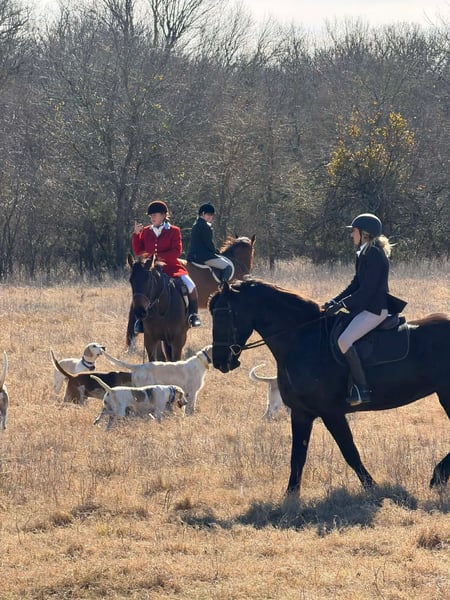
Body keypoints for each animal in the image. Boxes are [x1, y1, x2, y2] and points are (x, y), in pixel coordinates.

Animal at [209, 278, 450, 496]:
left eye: (222, 315)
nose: (220, 361)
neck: (301, 339)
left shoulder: (331, 412)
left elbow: (349, 451)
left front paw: (372, 488)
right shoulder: (301, 413)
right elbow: (297, 456)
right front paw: (291, 496)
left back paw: (437, 476)